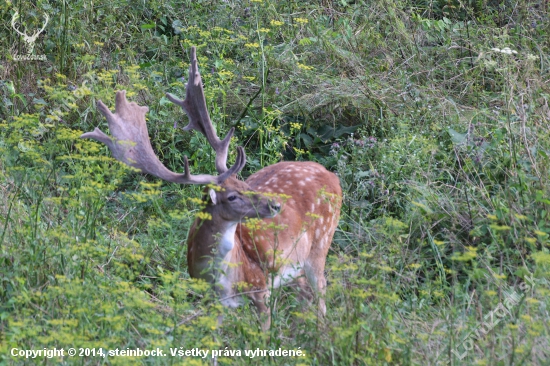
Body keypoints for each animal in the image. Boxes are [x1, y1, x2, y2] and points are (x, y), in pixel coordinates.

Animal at [82, 47, 342, 330]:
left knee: (321, 290)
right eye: (233, 195)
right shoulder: (209, 301)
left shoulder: (260, 287)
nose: (275, 205)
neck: (223, 281)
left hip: (322, 241)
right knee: (306, 292)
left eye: (244, 182)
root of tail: (332, 175)